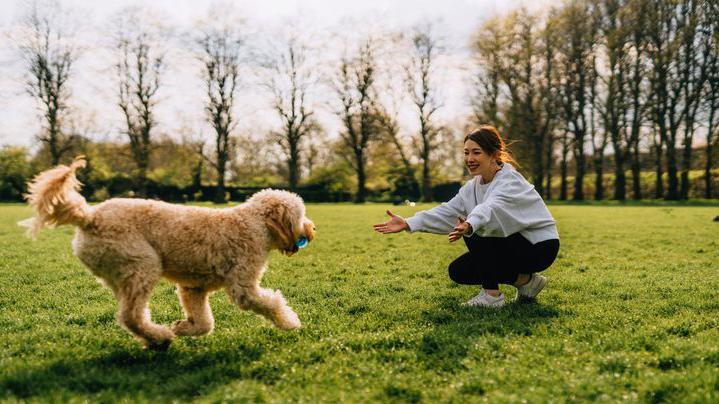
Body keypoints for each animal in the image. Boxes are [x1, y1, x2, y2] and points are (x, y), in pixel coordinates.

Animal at [20, 158, 316, 350]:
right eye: (300, 215)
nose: (312, 229)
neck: (254, 224)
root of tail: (89, 217)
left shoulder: (193, 288)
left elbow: (204, 323)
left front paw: (183, 327)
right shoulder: (242, 286)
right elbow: (270, 303)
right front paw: (289, 322)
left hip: (121, 276)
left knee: (129, 316)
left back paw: (155, 338)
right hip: (142, 265)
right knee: (131, 316)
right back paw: (160, 336)